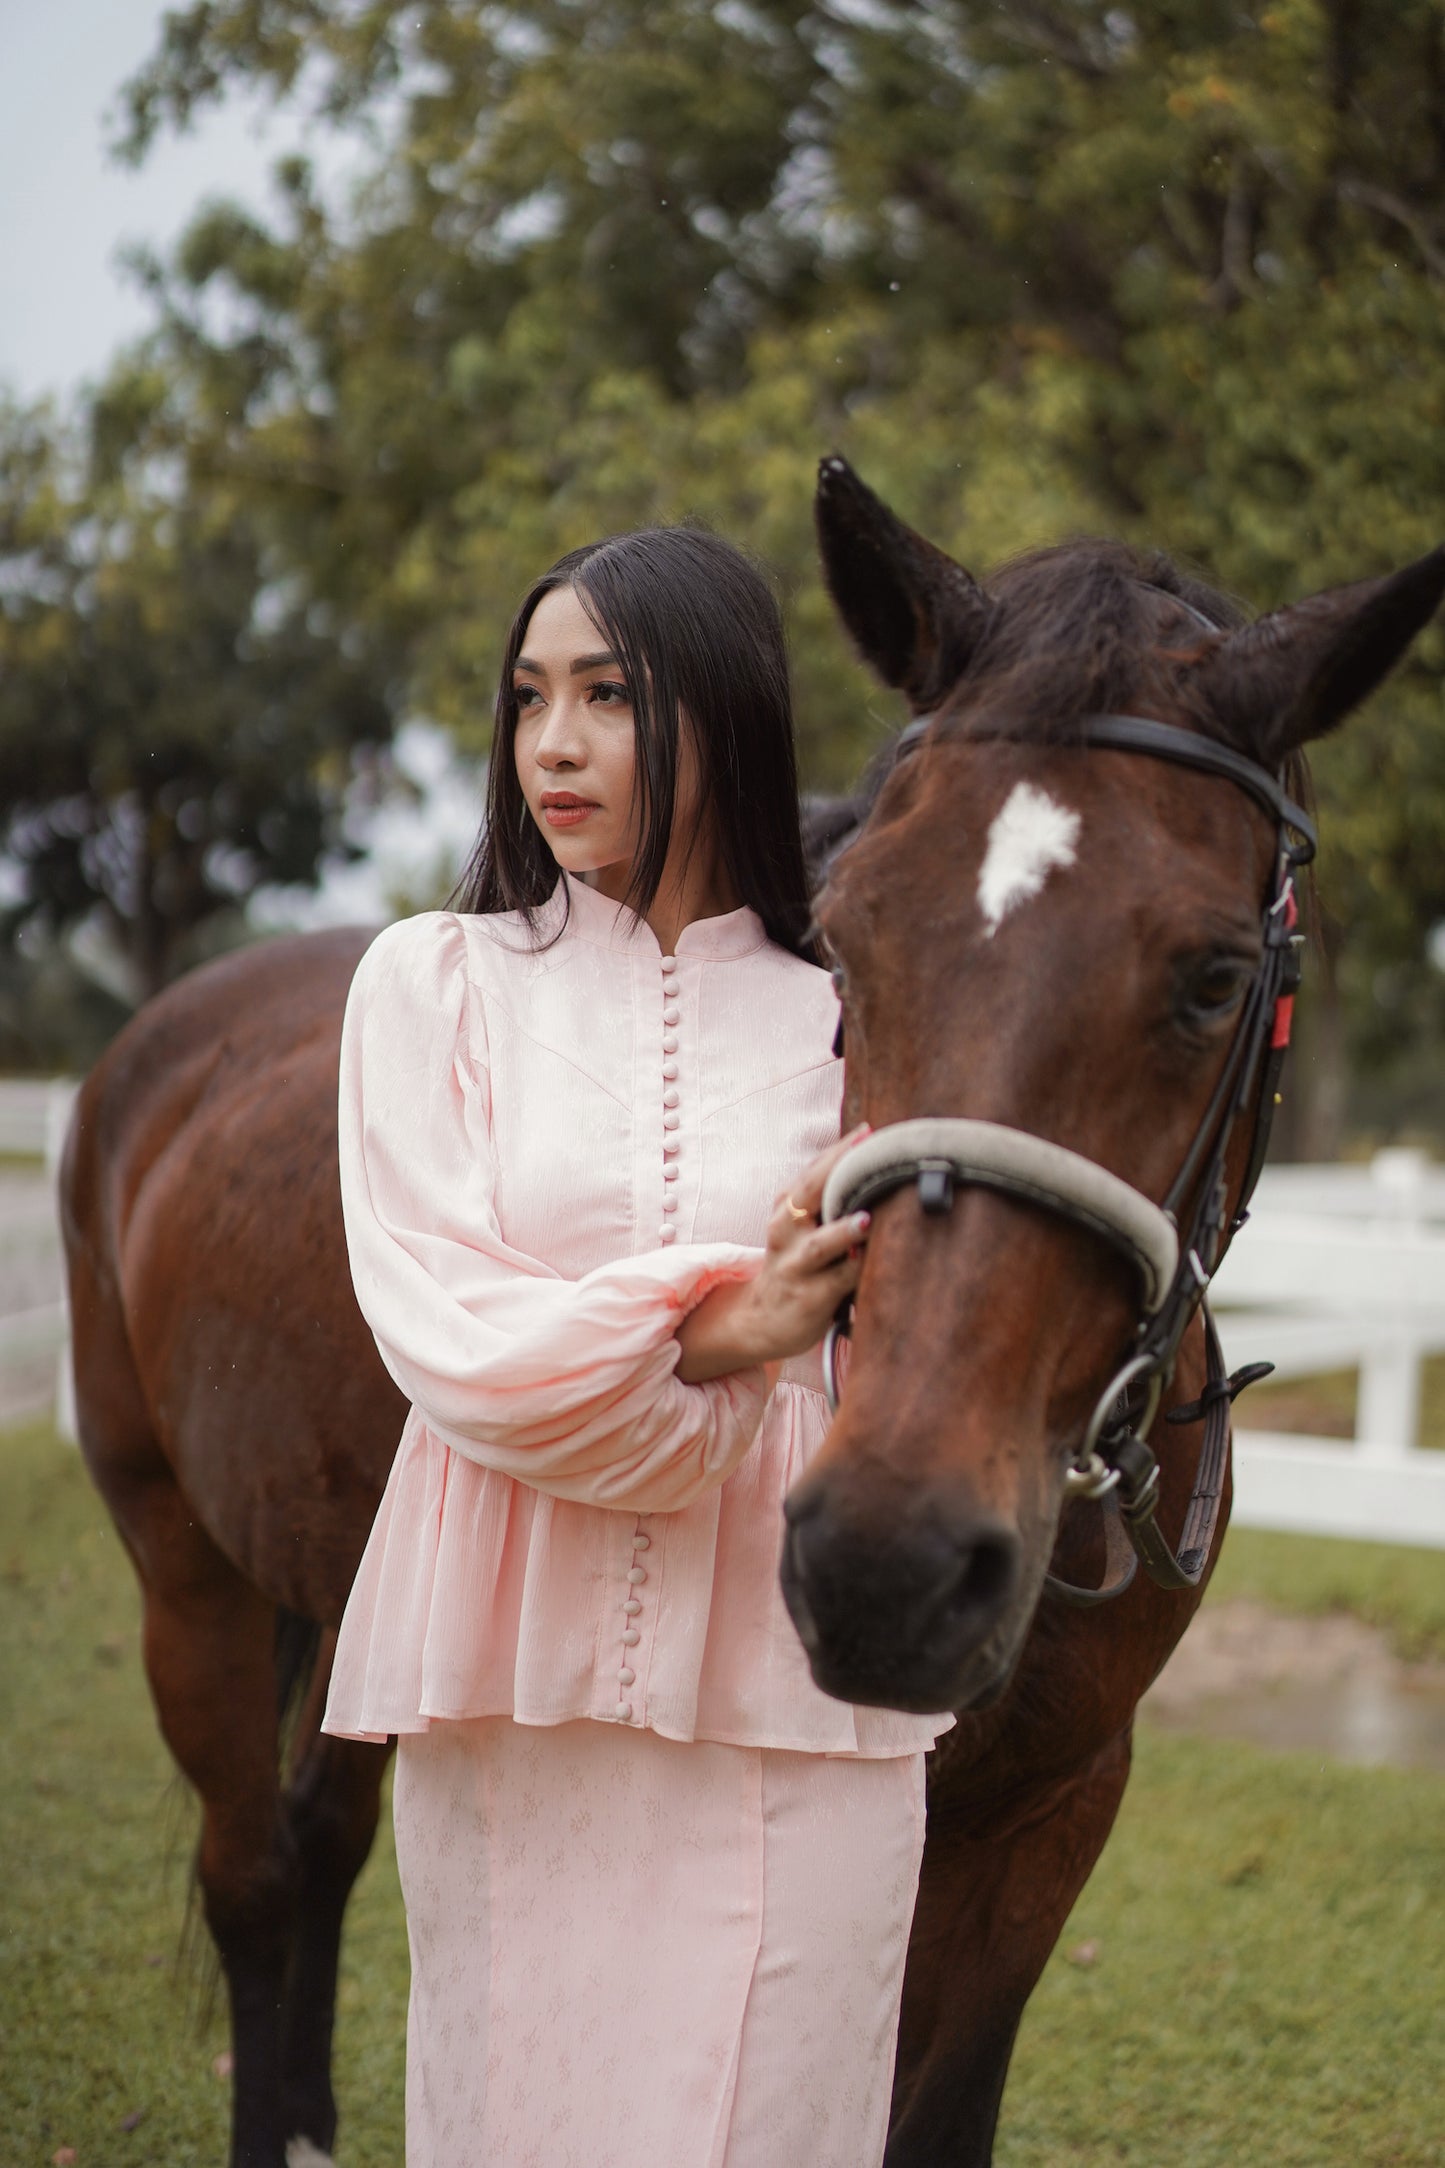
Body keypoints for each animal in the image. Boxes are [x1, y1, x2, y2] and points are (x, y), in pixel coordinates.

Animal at [59, 461, 1445, 2168]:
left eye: (1214, 977)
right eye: (844, 941)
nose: (888, 1564)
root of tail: (158, 1046)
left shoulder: (1049, 1813)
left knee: (321, 1840)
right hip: (185, 1568)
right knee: (253, 1880)